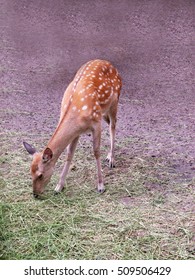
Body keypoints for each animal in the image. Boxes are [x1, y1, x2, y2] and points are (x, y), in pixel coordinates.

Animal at [23, 59, 122, 197]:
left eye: (40, 175)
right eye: (30, 172)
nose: (35, 194)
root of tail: (109, 63)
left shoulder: (96, 123)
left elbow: (96, 152)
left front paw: (101, 186)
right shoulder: (77, 132)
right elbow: (69, 154)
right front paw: (59, 186)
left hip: (115, 101)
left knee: (113, 125)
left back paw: (111, 159)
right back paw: (108, 156)